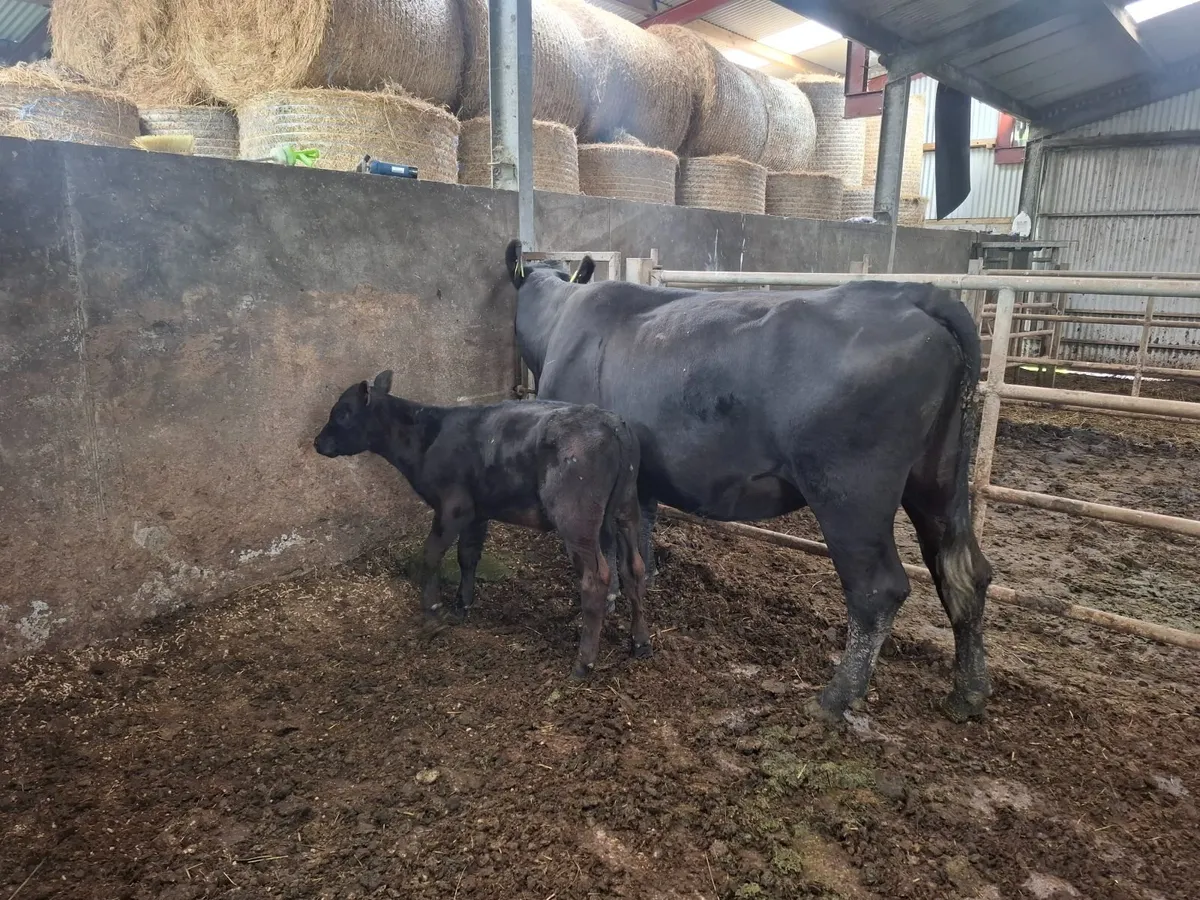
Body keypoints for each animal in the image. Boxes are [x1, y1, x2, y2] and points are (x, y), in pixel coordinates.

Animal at [313, 370, 651, 678]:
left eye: (342, 412)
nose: (318, 442)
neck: (426, 437)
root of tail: (611, 422)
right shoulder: (477, 512)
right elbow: (467, 556)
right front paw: (461, 606)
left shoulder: (453, 507)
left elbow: (431, 555)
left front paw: (432, 613)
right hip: (626, 509)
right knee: (633, 568)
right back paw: (641, 643)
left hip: (576, 518)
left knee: (596, 579)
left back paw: (583, 663)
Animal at [505, 239, 993, 723]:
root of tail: (911, 292)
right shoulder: (638, 479)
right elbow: (640, 538)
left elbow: (605, 548)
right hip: (936, 480)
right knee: (965, 571)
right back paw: (967, 694)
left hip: (851, 494)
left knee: (878, 590)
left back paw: (835, 698)